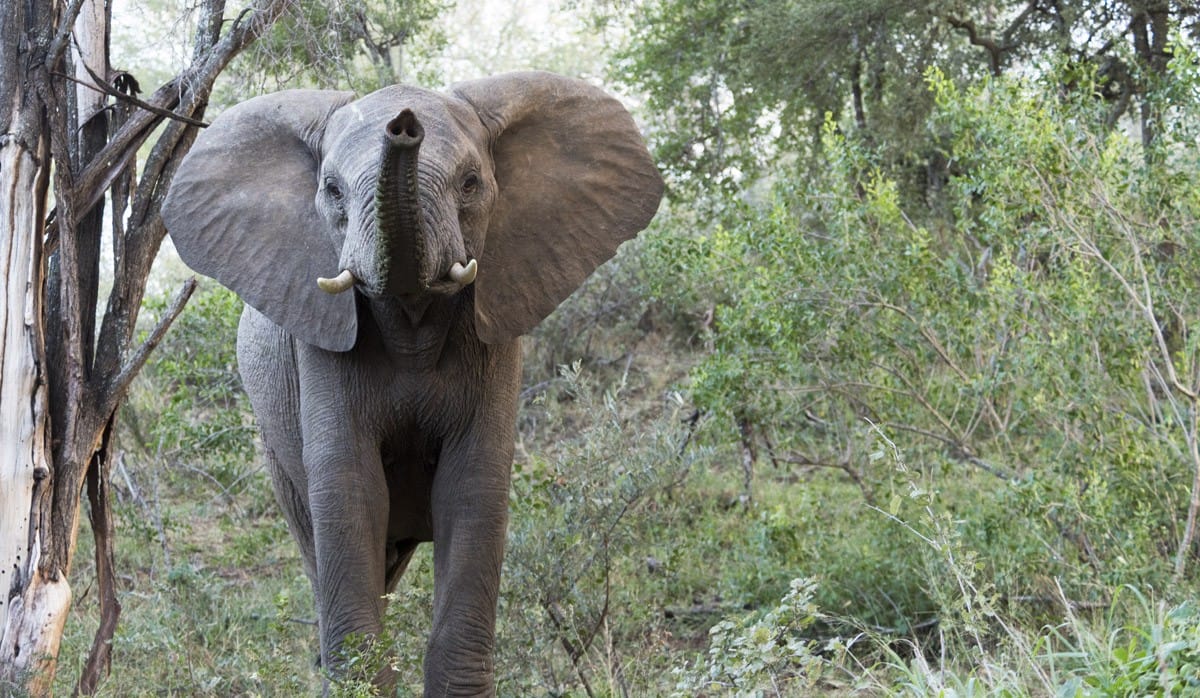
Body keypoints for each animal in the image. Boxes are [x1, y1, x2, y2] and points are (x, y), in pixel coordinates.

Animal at [160, 71, 662, 695]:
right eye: (332, 191)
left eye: (471, 184)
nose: (403, 126)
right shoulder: (320, 341)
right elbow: (349, 492)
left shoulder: (495, 326)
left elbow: (472, 489)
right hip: (277, 460)